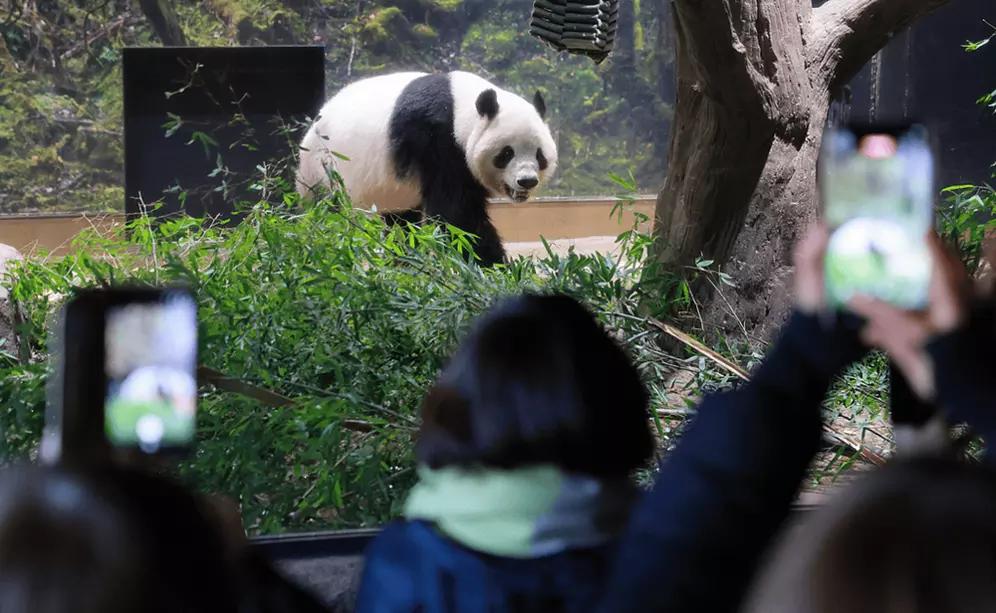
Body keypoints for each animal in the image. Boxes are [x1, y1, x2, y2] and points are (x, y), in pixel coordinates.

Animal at [296, 71, 558, 266]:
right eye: (506, 154)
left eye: (539, 155)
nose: (526, 181)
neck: (461, 108)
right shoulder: (436, 141)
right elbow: (457, 216)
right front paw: (495, 267)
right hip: (324, 168)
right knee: (328, 217)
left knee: (400, 222)